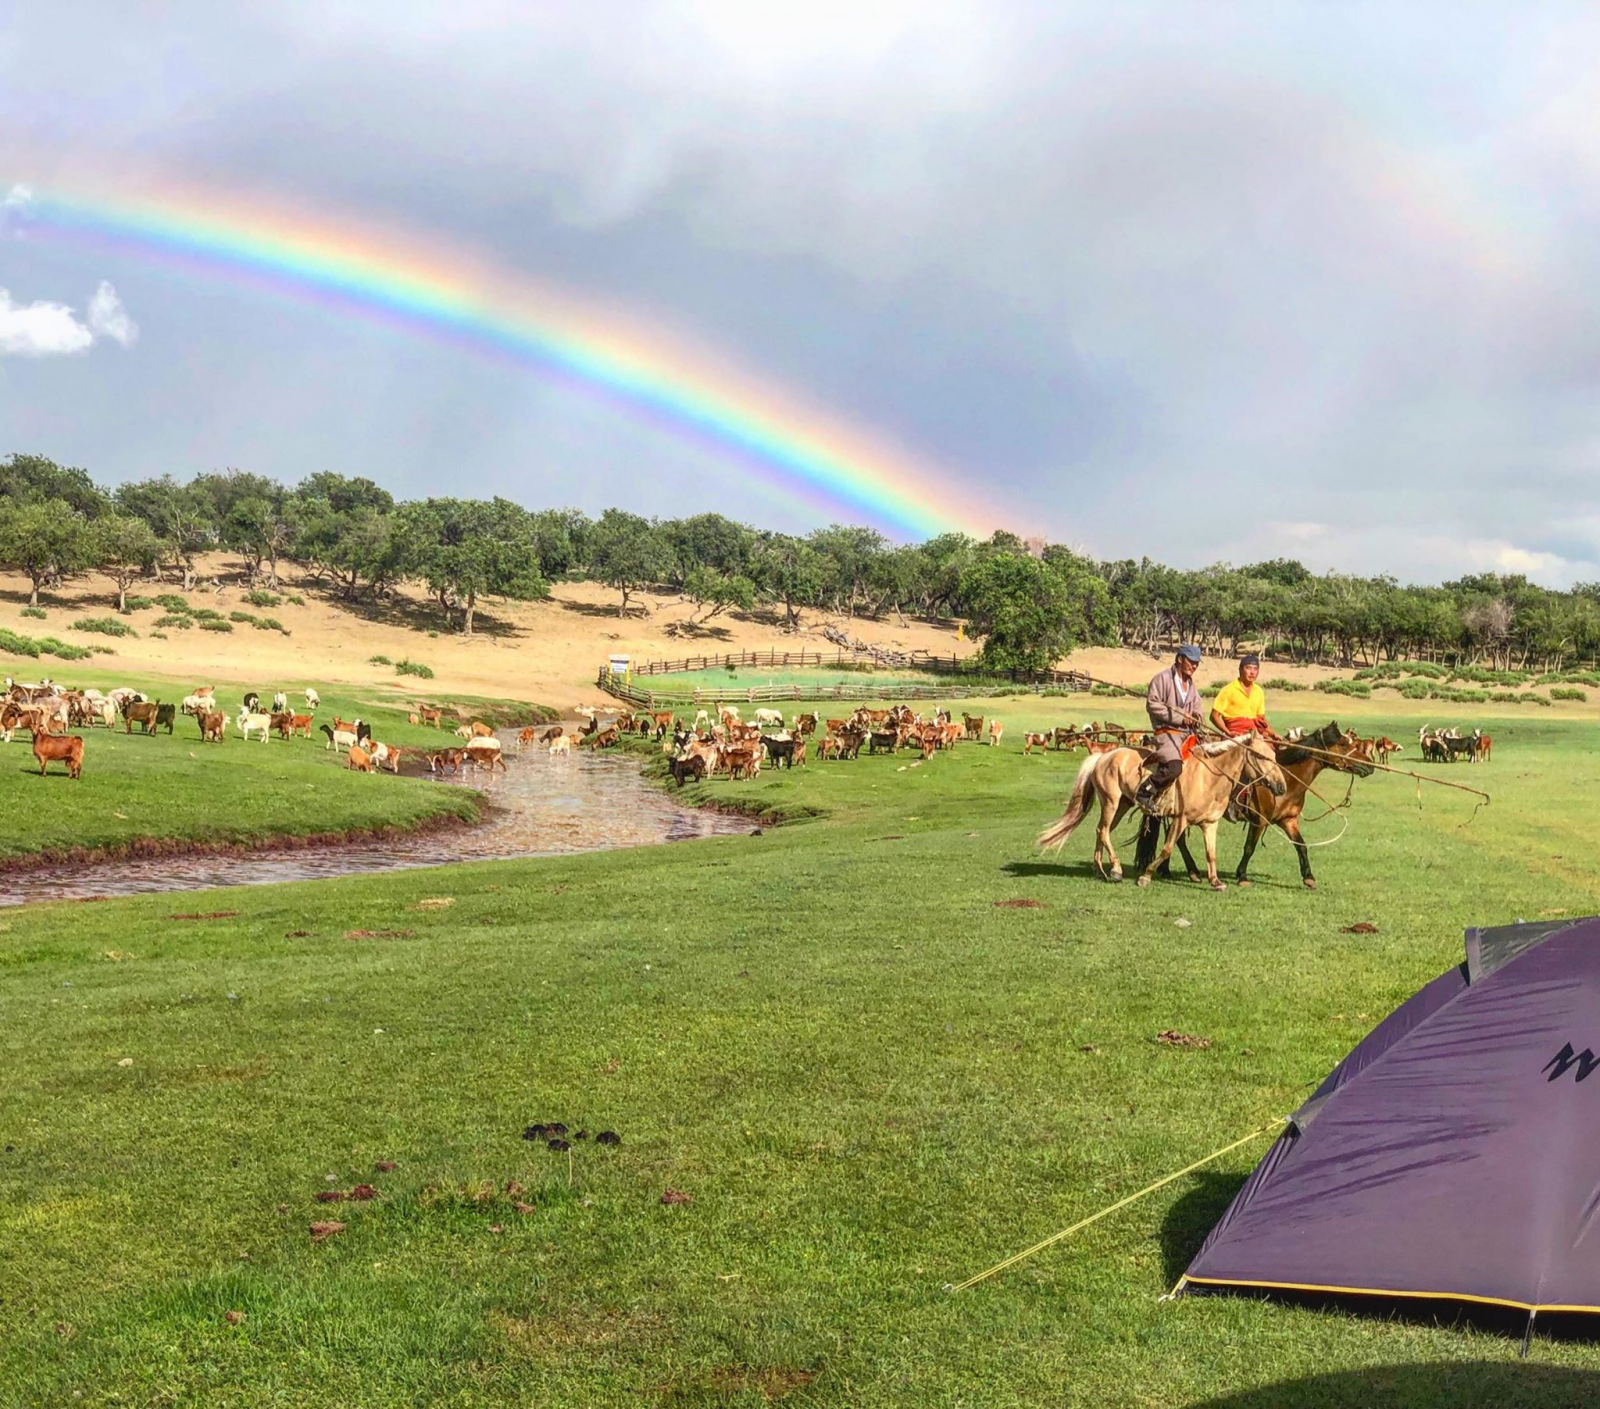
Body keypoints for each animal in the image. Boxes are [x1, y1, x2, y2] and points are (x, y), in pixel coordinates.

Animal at [1036, 732, 1286, 882]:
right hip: (1110, 802)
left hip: (1122, 805)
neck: (1208, 776)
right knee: (1103, 831)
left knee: (1101, 831)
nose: (1281, 786)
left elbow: (1211, 853)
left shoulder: (1209, 823)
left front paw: (1216, 882)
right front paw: (1146, 876)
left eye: (1275, 756)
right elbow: (1167, 849)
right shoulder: (1180, 819)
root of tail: (1102, 757)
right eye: (1261, 756)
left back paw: (1101, 871)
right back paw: (1115, 870)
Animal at [1235, 719, 1376, 882]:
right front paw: (1242, 875)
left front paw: (1308, 876)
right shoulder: (1259, 820)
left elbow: (1301, 845)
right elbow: (1249, 847)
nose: (1370, 765)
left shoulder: (1288, 820)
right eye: (1343, 744)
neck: (1284, 778)